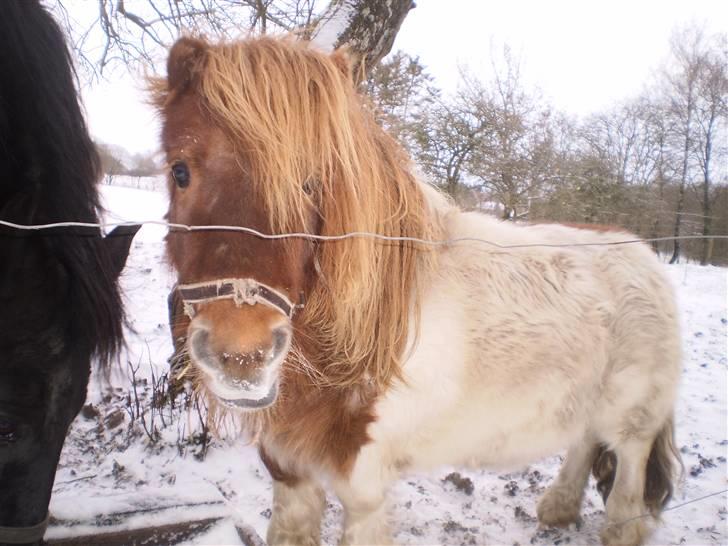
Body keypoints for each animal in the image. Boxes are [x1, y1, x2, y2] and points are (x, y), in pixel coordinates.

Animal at [154, 36, 684, 540]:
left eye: (310, 183)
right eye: (180, 171)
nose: (241, 353)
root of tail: (645, 257)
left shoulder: (364, 494)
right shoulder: (290, 475)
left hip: (633, 431)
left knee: (626, 493)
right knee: (582, 442)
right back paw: (558, 509)